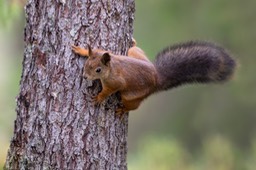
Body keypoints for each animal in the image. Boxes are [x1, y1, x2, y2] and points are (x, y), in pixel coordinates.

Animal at [71, 38, 236, 114]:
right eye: (86, 65)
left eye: (98, 70)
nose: (85, 77)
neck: (111, 67)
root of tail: (156, 78)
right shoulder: (106, 53)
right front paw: (82, 50)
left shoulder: (115, 82)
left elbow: (108, 90)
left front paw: (99, 98)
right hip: (135, 54)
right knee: (134, 48)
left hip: (130, 95)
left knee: (133, 106)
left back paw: (123, 110)